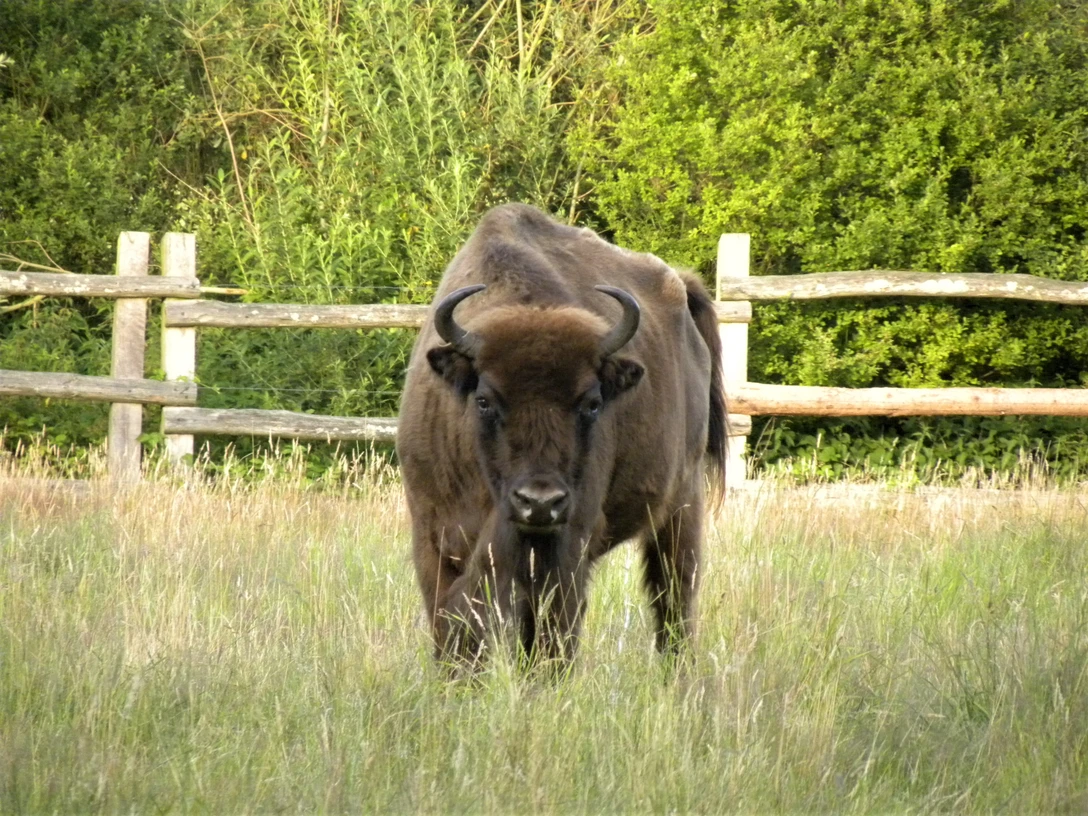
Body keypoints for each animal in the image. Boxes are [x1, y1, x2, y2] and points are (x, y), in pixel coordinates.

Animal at [397, 203, 727, 669]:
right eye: (484, 400)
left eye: (592, 402)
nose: (539, 502)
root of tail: (681, 284)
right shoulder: (433, 540)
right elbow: (454, 627)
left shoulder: (566, 548)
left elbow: (552, 639)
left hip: (682, 503)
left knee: (673, 599)